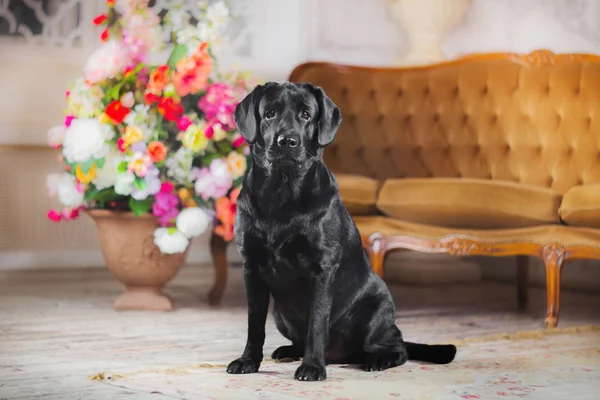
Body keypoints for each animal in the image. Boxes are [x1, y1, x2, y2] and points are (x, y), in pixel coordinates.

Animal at [225, 82, 454, 382]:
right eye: (269, 113)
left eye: (306, 114)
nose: (287, 141)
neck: (282, 192)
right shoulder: (251, 267)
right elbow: (254, 324)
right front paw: (248, 361)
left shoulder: (322, 268)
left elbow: (317, 323)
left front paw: (312, 367)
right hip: (281, 315)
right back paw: (289, 351)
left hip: (375, 312)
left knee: (398, 347)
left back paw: (376, 359)